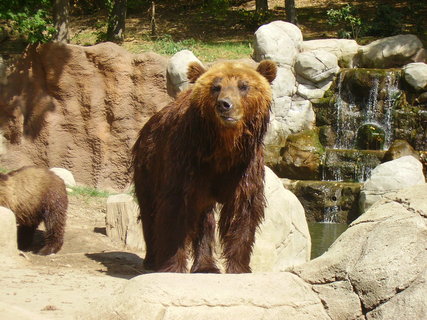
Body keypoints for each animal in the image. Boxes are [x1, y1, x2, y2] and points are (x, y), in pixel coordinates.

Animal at [134, 59, 280, 272]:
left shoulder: (244, 167)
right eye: (216, 87)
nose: (224, 104)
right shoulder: (186, 159)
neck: (224, 147)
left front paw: (239, 267)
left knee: (205, 220)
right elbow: (174, 211)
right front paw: (173, 265)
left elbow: (243, 210)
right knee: (149, 209)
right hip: (149, 167)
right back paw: (152, 260)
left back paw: (206, 265)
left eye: (243, 86)